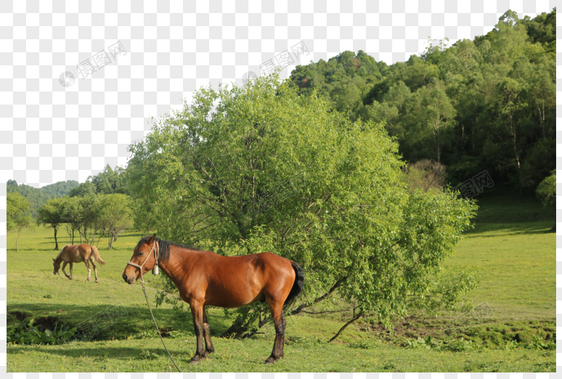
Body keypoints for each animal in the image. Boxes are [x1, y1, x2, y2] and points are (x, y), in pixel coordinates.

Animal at [122, 235, 304, 366]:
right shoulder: (202, 304)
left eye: (140, 253)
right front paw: (207, 352)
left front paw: (197, 355)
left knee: (279, 327)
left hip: (274, 303)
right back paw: (279, 355)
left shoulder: (195, 303)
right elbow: (205, 326)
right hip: (278, 305)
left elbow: (197, 328)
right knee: (283, 325)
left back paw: (272, 357)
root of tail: (288, 262)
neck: (187, 265)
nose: (126, 276)